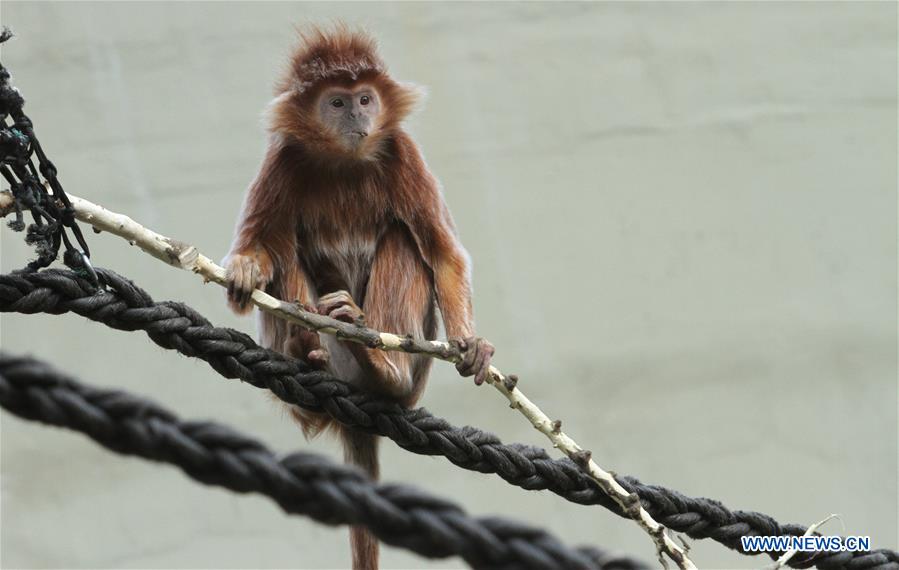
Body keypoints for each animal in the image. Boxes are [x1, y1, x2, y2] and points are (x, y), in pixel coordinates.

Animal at [223, 26, 492, 568]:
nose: (358, 117)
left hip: (413, 380)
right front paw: (244, 269)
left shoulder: (403, 152)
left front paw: (471, 344)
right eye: (337, 102)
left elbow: (444, 255)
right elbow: (259, 253)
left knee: (404, 241)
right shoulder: (282, 161)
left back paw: (381, 366)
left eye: (366, 99)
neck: (343, 163)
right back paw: (307, 353)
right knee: (287, 248)